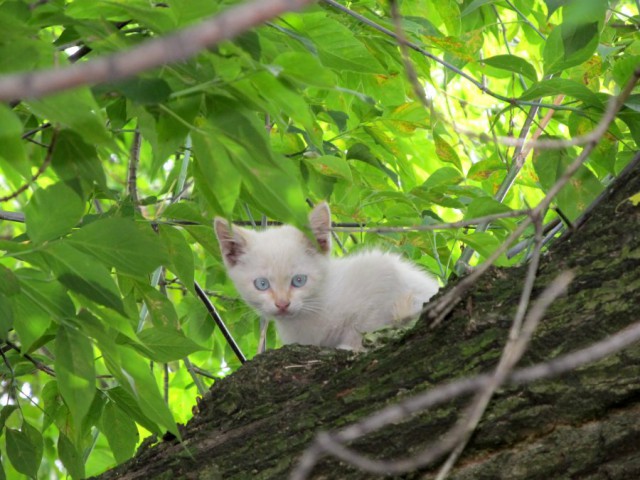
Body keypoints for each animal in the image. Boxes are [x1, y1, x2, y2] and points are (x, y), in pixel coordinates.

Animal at [215, 202, 440, 348]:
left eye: (299, 280)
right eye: (262, 284)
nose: (282, 304)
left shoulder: (383, 273)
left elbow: (368, 322)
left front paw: (353, 345)